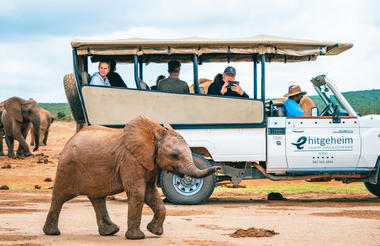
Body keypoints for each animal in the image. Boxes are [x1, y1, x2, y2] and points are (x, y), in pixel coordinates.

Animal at [42, 116, 220, 240]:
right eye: (174, 156)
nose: (218, 167)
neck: (154, 133)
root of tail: (70, 139)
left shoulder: (150, 162)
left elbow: (150, 192)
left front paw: (155, 231)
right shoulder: (130, 159)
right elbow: (138, 191)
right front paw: (138, 237)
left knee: (98, 198)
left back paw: (110, 232)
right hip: (67, 166)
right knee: (60, 196)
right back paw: (52, 233)